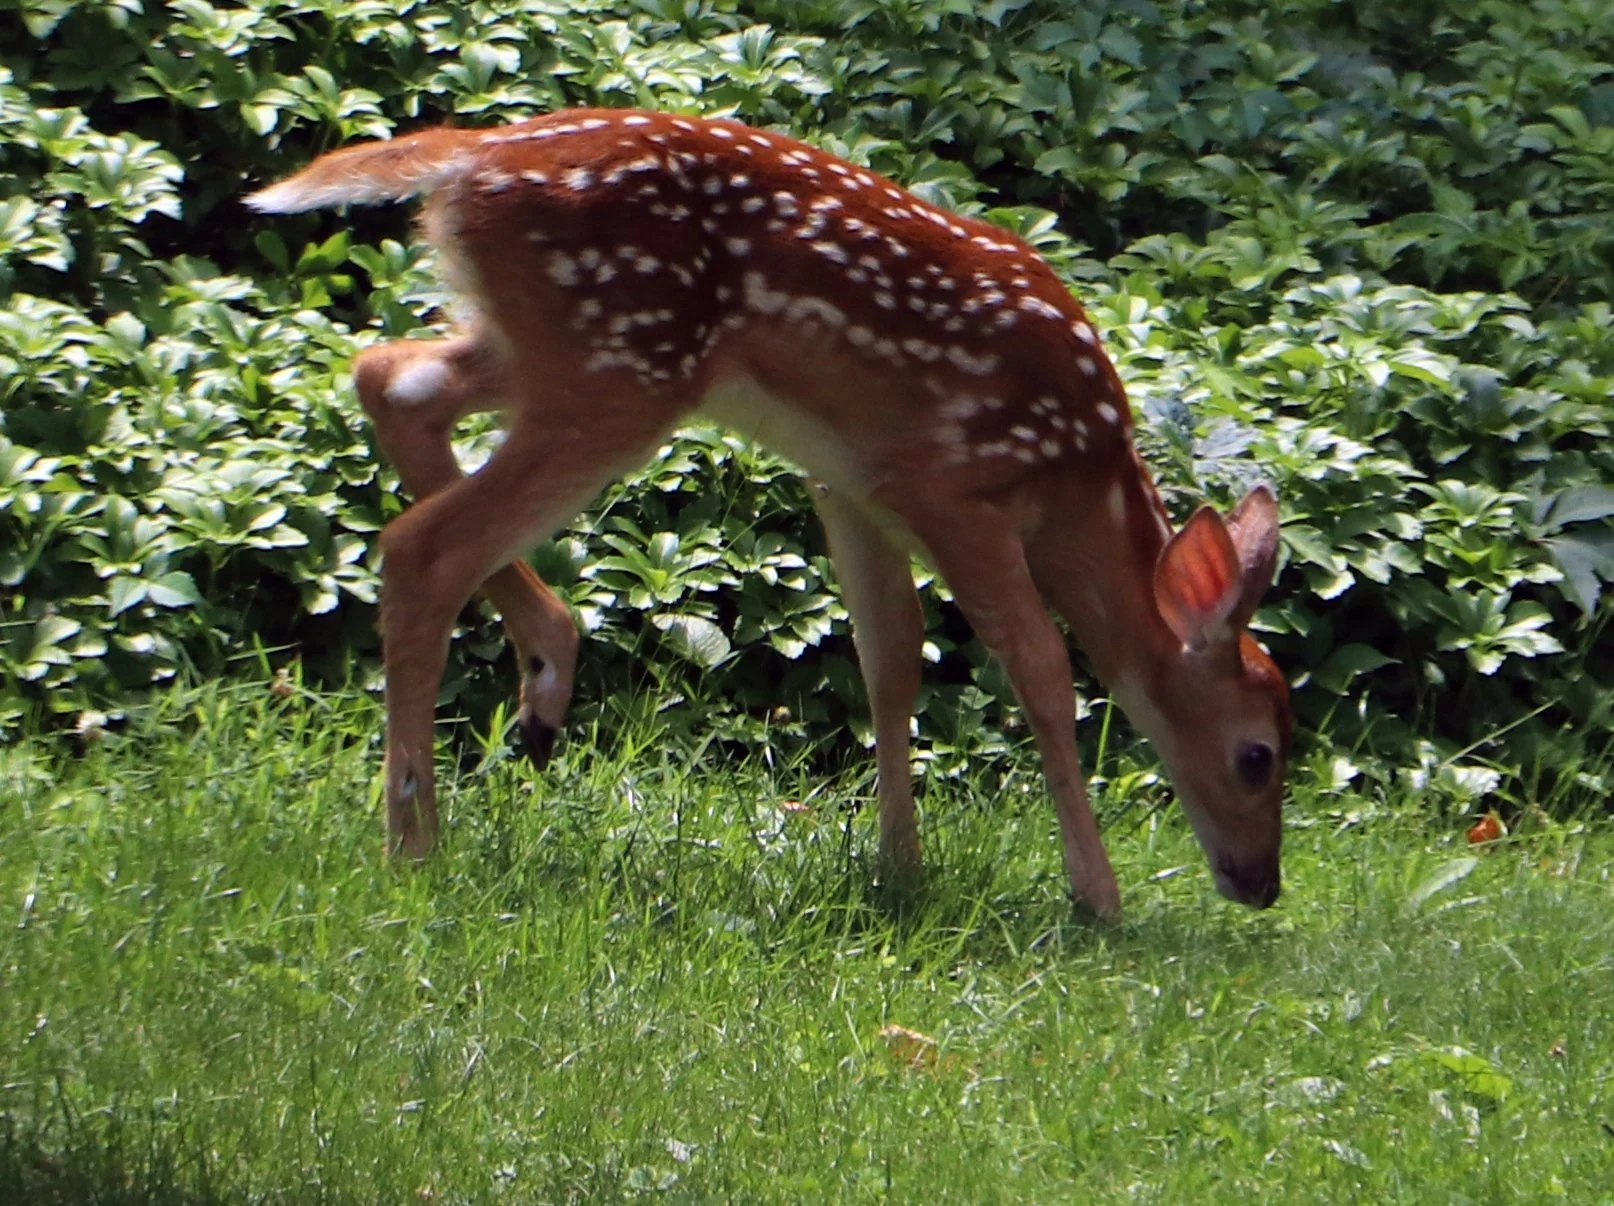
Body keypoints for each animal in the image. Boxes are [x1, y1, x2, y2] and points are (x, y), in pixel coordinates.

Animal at [247, 108, 1290, 920]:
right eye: (1258, 756)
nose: (1263, 884)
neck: (1081, 478)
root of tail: (468, 158)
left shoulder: (855, 487)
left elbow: (891, 661)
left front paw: (900, 867)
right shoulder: (956, 490)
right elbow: (1040, 669)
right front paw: (1097, 896)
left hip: (547, 352)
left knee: (389, 378)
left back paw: (545, 681)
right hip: (618, 370)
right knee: (423, 544)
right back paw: (414, 842)